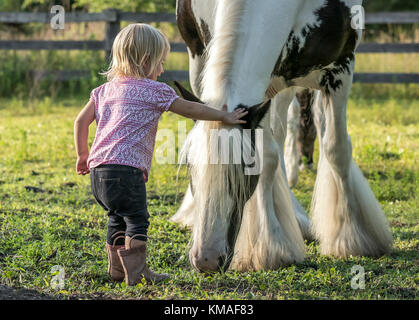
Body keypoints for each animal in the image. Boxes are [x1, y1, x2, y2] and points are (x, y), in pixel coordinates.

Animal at [171, 0, 394, 272]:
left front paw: (351, 237)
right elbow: (268, 159)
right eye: (189, 166)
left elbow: (336, 149)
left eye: (244, 169)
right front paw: (271, 245)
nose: (207, 260)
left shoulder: (341, 68)